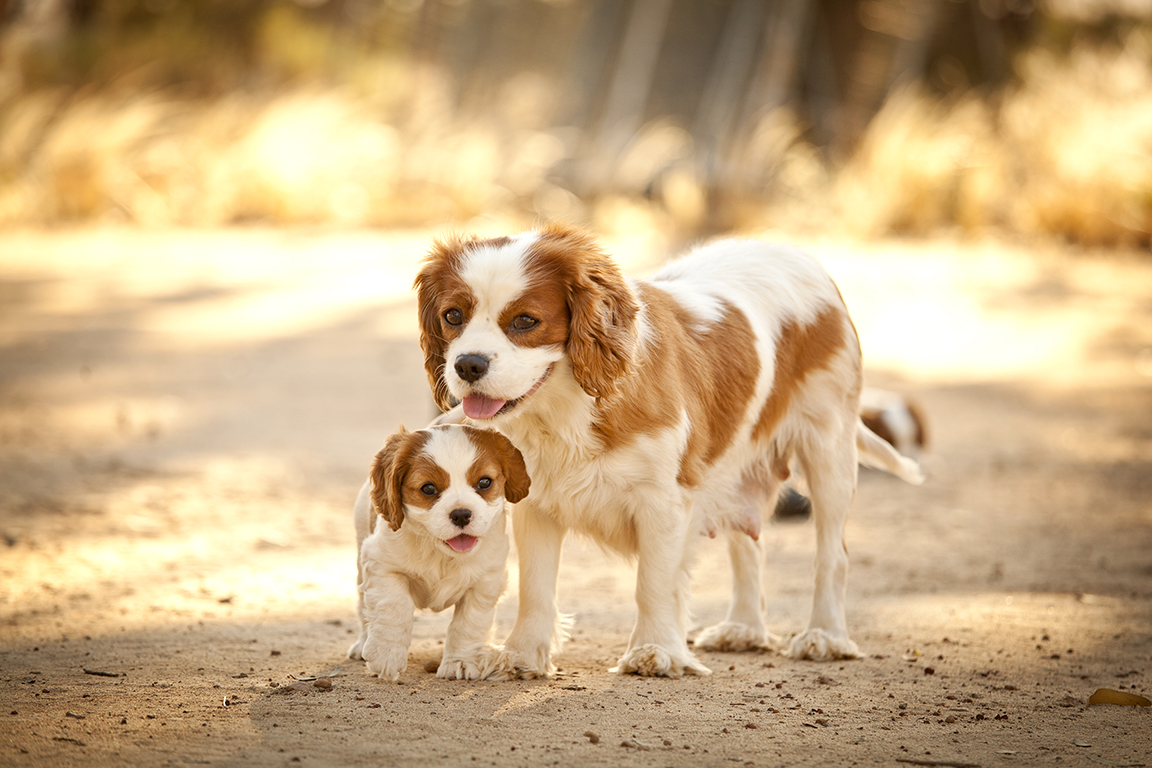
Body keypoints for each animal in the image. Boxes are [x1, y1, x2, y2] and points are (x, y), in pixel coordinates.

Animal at [345, 423, 529, 681]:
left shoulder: (485, 581)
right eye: (429, 488)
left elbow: (468, 623)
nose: (461, 514)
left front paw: (460, 662)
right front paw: (386, 655)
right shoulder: (381, 564)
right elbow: (394, 606)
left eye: (484, 482)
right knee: (363, 608)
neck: (440, 551)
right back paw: (363, 644)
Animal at [410, 222, 921, 677]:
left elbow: (653, 583)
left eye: (525, 322)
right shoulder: (536, 503)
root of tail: (791, 251)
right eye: (453, 316)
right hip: (732, 468)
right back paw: (744, 628)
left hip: (828, 449)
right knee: (747, 546)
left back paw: (825, 636)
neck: (569, 408)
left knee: (832, 554)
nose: (467, 364)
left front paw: (654, 650)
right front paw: (522, 655)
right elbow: (535, 587)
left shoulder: (662, 501)